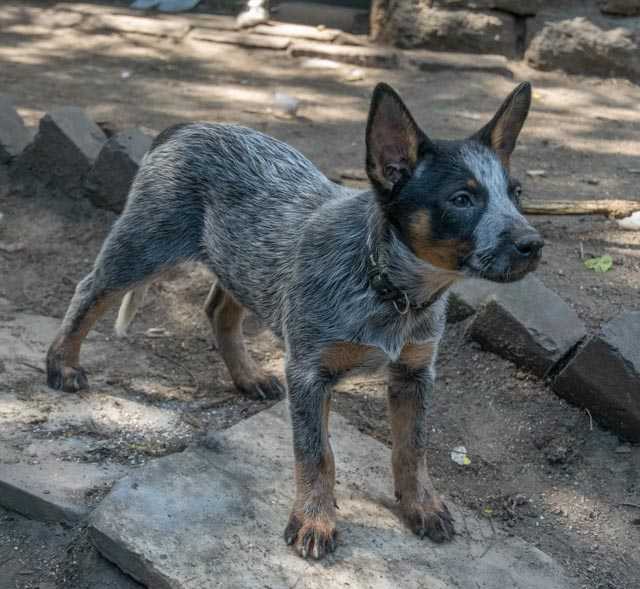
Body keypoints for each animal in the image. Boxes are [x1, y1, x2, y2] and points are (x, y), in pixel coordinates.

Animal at [47, 80, 544, 560]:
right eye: (461, 199)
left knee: (218, 311)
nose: (533, 244)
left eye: (517, 193)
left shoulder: (415, 372)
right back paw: (63, 365)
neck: (390, 289)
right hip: (145, 245)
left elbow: (412, 447)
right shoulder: (309, 372)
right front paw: (314, 520)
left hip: (240, 262)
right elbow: (316, 454)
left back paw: (247, 376)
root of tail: (188, 126)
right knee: (90, 290)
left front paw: (420, 505)